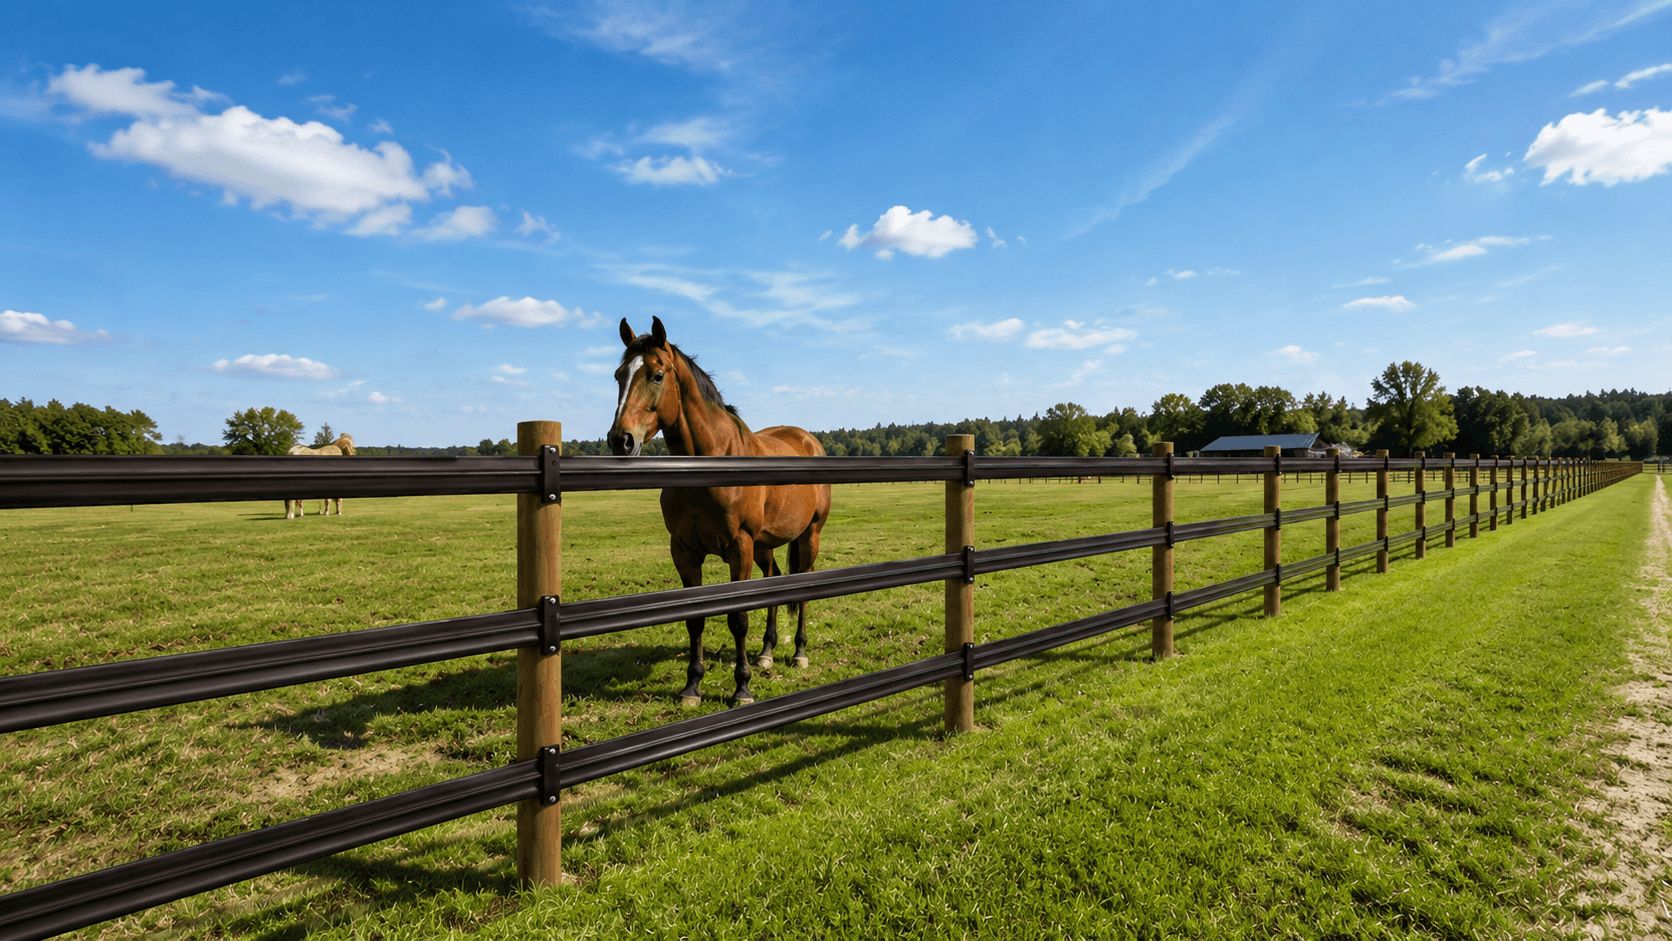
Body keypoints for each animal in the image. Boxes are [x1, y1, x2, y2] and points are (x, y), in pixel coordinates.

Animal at [607, 316, 832, 706]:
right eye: (619, 375)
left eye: (657, 375)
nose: (621, 440)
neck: (710, 465)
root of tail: (808, 440)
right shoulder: (684, 550)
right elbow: (694, 619)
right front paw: (692, 686)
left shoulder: (739, 547)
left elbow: (738, 619)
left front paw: (741, 688)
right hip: (764, 546)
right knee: (774, 580)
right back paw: (766, 653)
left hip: (808, 537)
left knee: (802, 585)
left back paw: (799, 653)